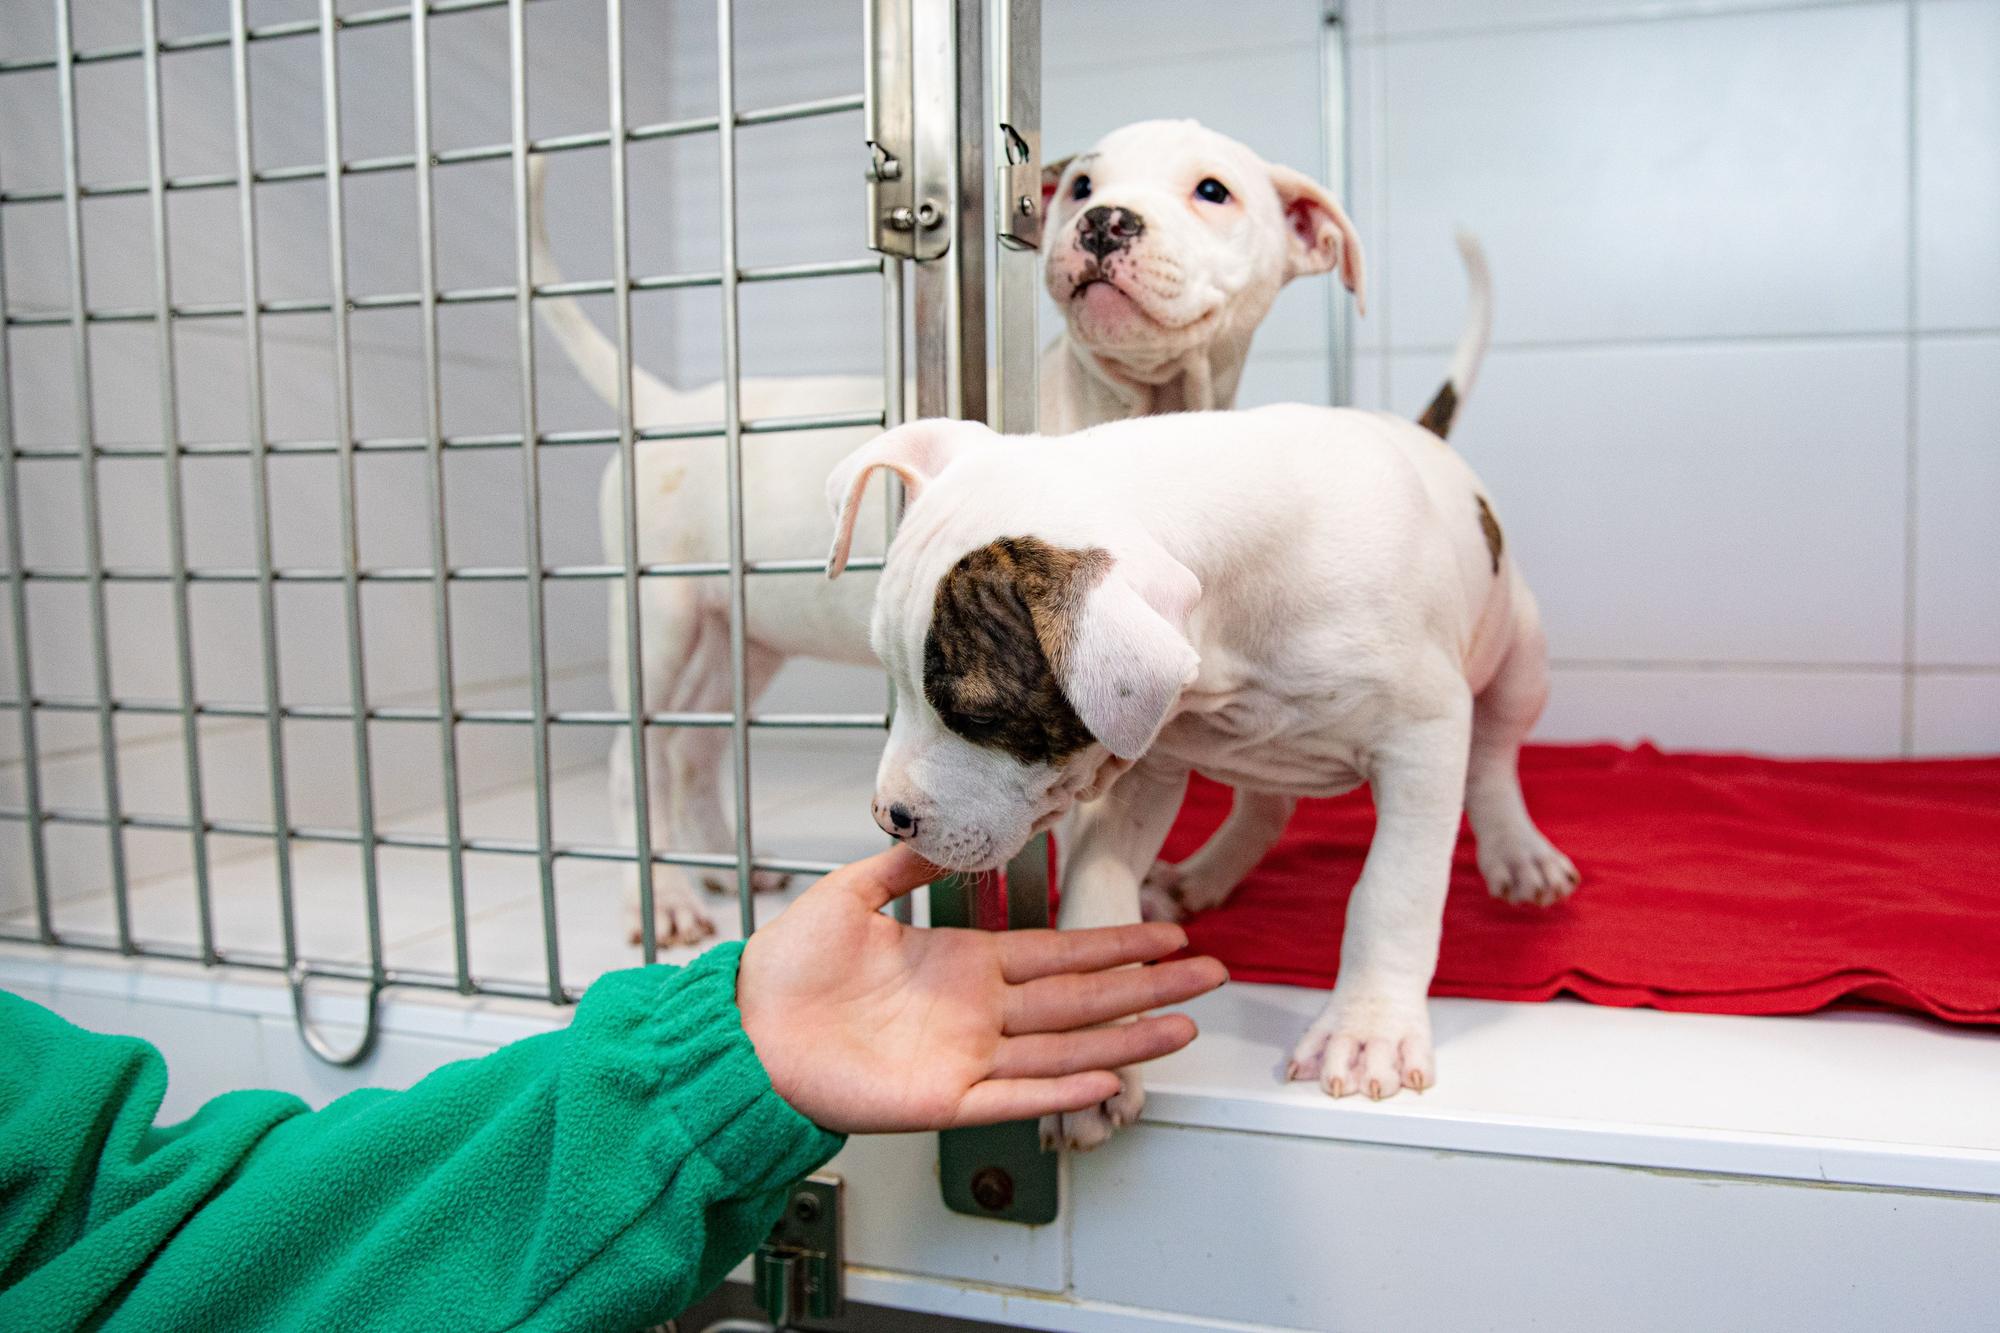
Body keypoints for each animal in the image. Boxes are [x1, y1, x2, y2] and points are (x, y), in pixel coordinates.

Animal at [536, 119, 1360, 940]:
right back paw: (663, 896)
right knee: (634, 759)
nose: (1105, 221)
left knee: (696, 748)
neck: (1129, 406)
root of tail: (665, 407)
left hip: (742, 637)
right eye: (1083, 186)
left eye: (1213, 190)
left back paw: (722, 865)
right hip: (659, 623)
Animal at [828, 246, 1576, 1144]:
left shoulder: (1424, 738)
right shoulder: (1141, 762)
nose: (888, 817)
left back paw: (1516, 850)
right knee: (1269, 801)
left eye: (975, 712)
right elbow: (1096, 881)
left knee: (1496, 753)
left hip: (1520, 652)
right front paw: (1095, 1040)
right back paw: (1202, 874)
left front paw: (1368, 1029)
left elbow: (1393, 887)